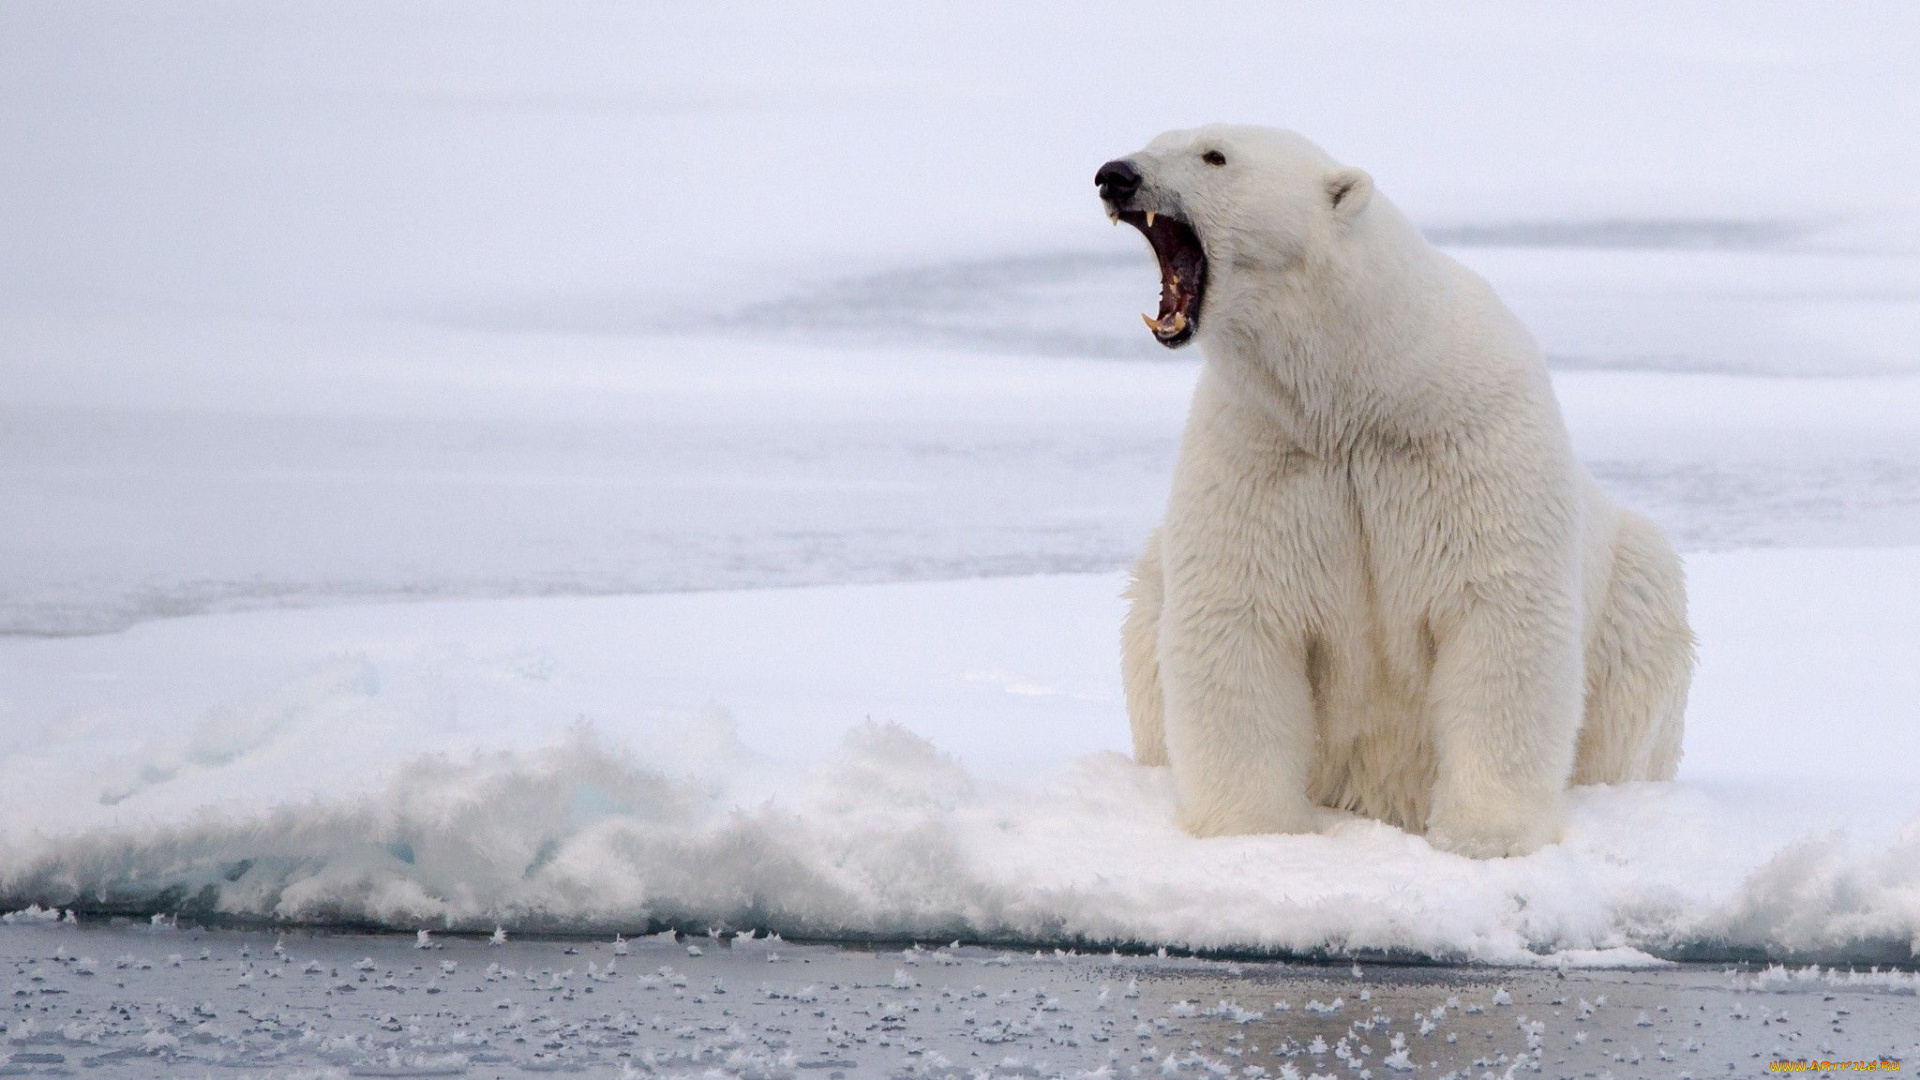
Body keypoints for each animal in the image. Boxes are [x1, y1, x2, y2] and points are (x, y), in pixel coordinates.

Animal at [1105, 125, 1689, 853]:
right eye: (1155, 139)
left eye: (1214, 155)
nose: (1115, 175)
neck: (1362, 389)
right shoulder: (1263, 452)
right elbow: (1239, 617)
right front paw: (1255, 832)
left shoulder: (1466, 445)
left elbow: (1499, 616)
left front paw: (1485, 835)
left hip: (1632, 595)